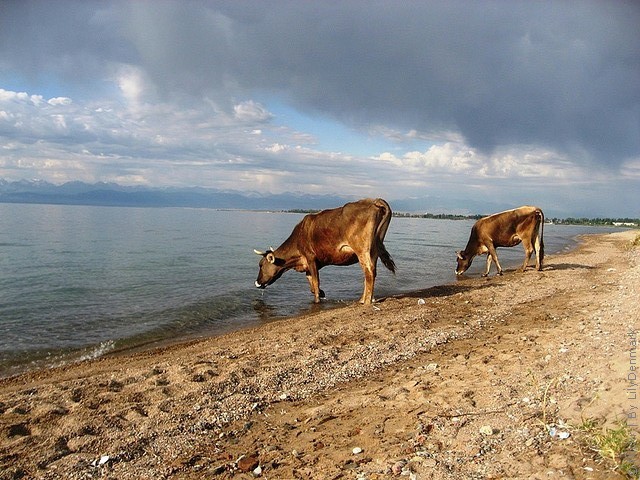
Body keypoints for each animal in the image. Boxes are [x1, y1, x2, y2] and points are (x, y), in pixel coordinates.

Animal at [254, 198, 396, 304]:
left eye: (261, 265)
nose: (256, 283)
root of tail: (373, 201)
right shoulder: (309, 263)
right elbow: (311, 282)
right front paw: (322, 293)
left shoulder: (310, 257)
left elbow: (316, 282)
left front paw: (317, 300)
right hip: (374, 249)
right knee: (371, 272)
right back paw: (364, 299)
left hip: (362, 249)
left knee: (369, 271)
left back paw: (366, 301)